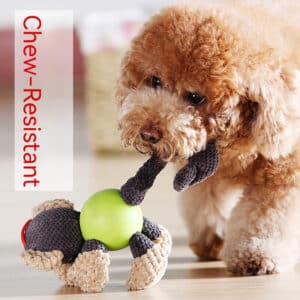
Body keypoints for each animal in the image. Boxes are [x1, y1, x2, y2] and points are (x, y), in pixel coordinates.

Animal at [115, 1, 300, 274]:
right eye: (155, 81)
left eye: (196, 97)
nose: (148, 133)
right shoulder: (204, 173)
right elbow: (205, 203)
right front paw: (212, 240)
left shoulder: (283, 174)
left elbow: (266, 215)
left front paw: (256, 255)